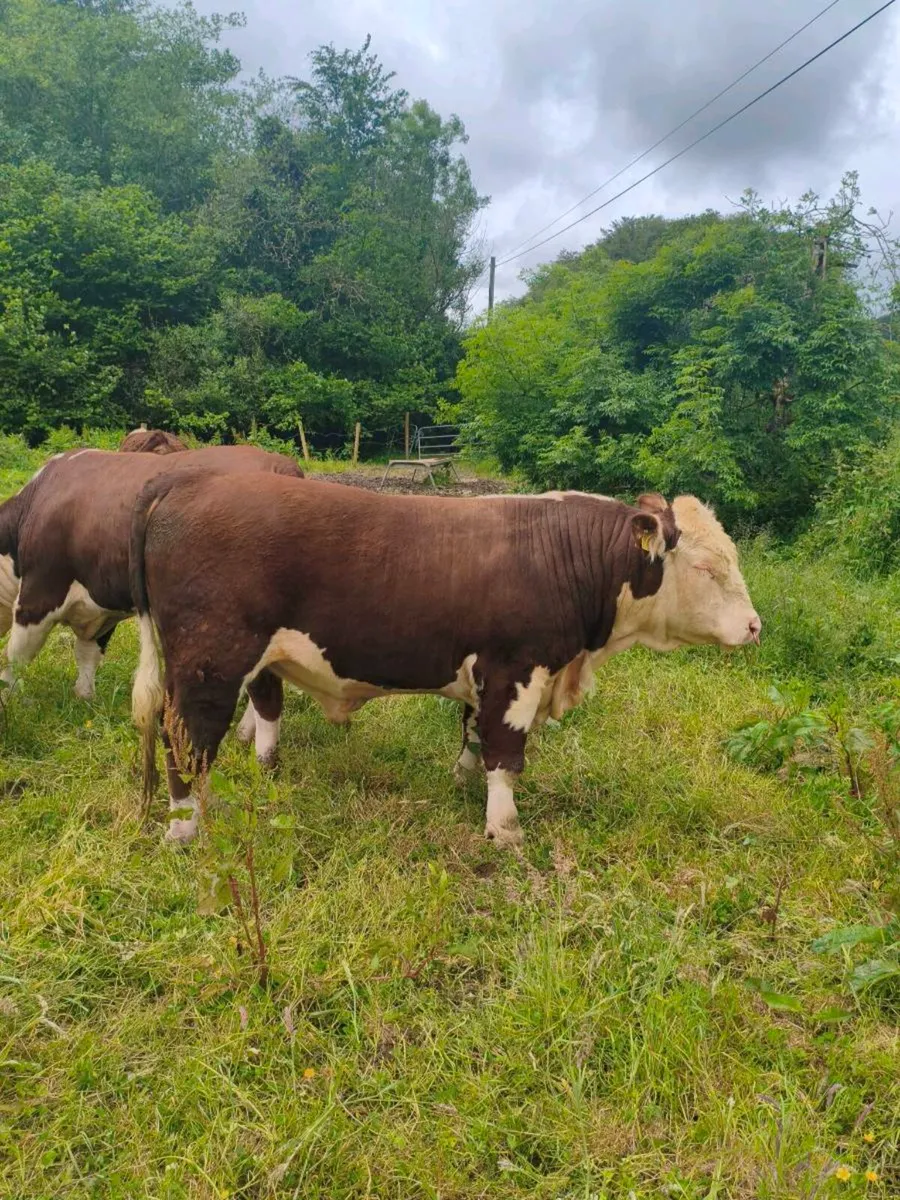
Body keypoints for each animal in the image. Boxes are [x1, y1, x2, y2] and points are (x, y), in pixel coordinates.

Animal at [0, 446, 302, 704]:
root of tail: (279, 464)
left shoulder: (39, 595)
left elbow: (16, 654)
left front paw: (9, 696)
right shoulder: (102, 604)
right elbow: (88, 653)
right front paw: (84, 697)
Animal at [128, 476, 761, 847]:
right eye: (706, 567)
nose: (755, 626)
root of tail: (182, 487)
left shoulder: (488, 675)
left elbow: (475, 737)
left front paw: (462, 783)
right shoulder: (515, 670)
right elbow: (506, 752)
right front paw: (505, 831)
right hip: (209, 664)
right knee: (184, 738)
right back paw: (184, 827)